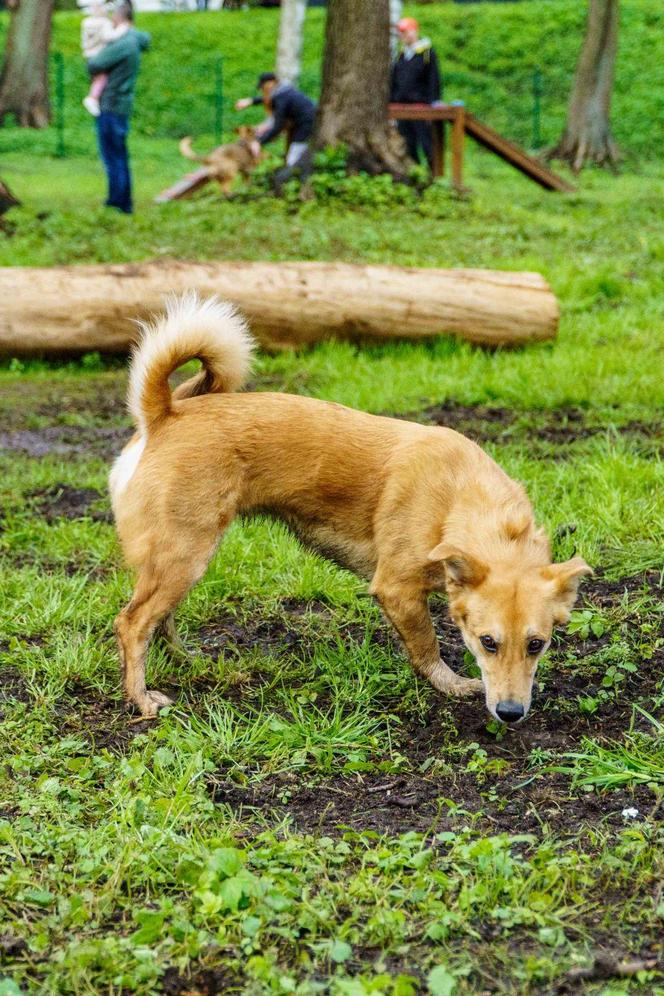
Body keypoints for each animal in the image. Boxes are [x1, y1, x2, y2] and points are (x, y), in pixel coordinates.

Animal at [109, 296, 592, 724]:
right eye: (488, 642)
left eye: (537, 644)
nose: (511, 714)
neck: (463, 498)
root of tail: (164, 414)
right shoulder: (396, 590)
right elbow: (427, 647)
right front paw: (450, 684)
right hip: (186, 554)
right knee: (132, 622)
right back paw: (141, 698)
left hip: (182, 558)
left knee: (159, 618)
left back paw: (184, 659)